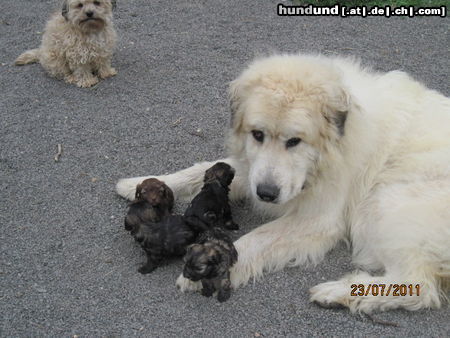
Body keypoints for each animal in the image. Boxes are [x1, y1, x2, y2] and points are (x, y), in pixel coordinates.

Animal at [118, 53, 450, 314]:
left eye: (294, 141)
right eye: (258, 135)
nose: (266, 194)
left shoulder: (318, 218)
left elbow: (257, 238)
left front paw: (208, 267)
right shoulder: (250, 169)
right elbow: (201, 171)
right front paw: (140, 185)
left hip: (386, 201)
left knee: (419, 286)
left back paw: (338, 293)